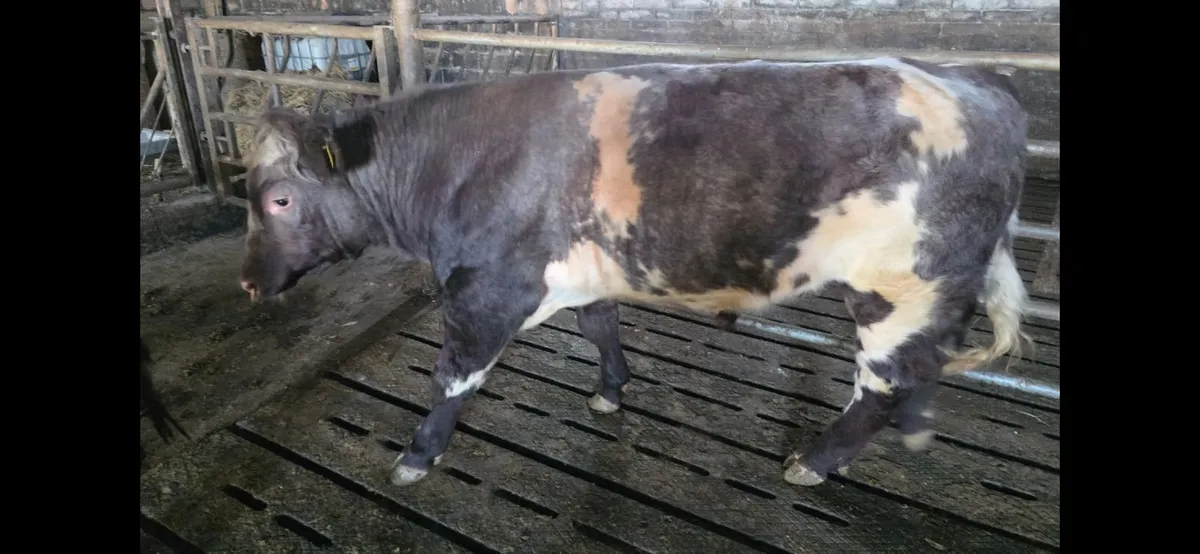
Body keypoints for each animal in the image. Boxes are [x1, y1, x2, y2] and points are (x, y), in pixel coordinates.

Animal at [236, 57, 1031, 489]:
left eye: (280, 199)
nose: (245, 283)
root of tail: (978, 84)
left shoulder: (484, 289)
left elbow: (453, 379)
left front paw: (417, 455)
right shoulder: (582, 270)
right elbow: (600, 326)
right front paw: (612, 391)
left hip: (901, 288)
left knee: (884, 386)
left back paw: (815, 459)